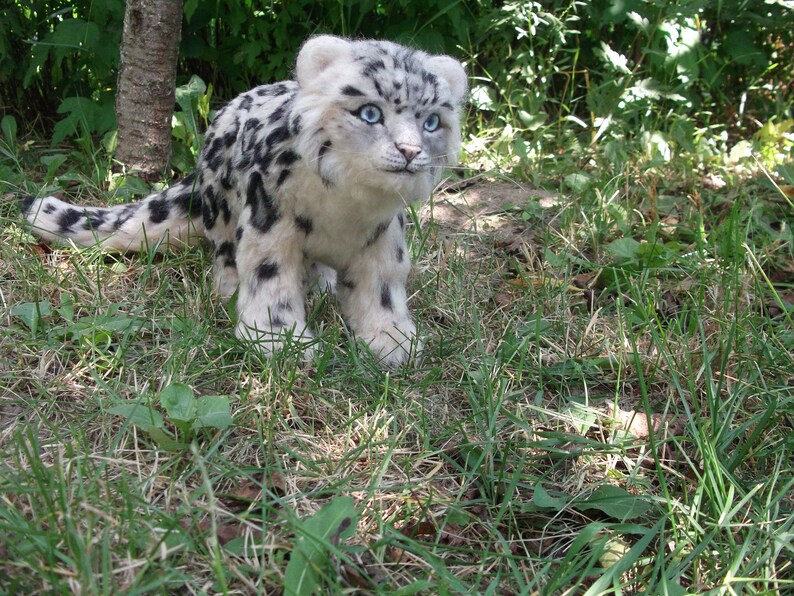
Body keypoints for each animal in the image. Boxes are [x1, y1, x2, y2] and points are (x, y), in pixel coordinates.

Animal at [21, 35, 468, 367]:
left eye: (432, 121)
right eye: (371, 112)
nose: (410, 151)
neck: (346, 209)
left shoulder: (384, 239)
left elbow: (381, 288)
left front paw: (392, 342)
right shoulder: (271, 224)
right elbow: (271, 279)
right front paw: (280, 342)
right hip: (221, 209)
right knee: (224, 251)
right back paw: (231, 287)